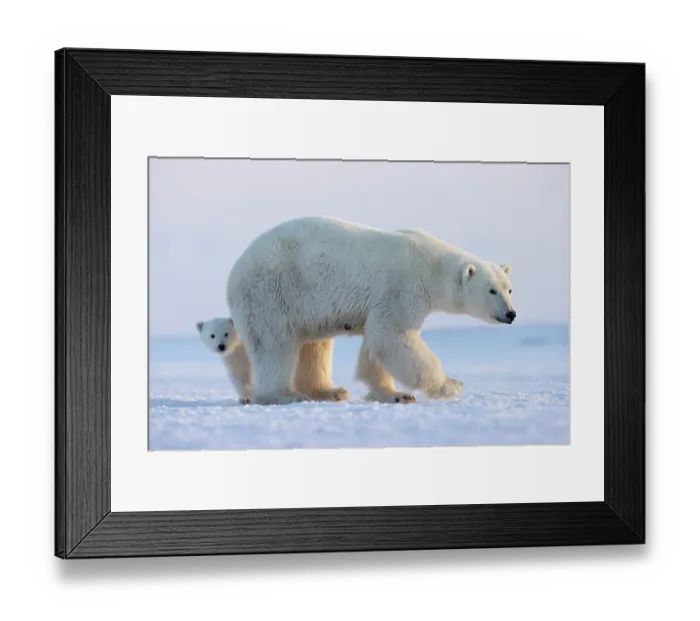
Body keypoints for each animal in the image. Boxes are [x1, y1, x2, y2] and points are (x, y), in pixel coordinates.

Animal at [197, 317, 350, 404]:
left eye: (226, 333)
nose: (221, 346)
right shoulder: (232, 357)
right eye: (212, 335)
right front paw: (245, 398)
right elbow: (238, 375)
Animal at [226, 216, 516, 406]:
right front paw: (451, 385)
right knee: (275, 344)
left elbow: (376, 346)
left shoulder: (383, 302)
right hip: (271, 292)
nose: (511, 314)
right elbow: (392, 337)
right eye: (492, 290)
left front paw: (395, 394)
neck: (431, 266)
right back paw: (284, 395)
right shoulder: (403, 288)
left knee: (314, 346)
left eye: (509, 289)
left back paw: (330, 391)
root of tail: (235, 271)